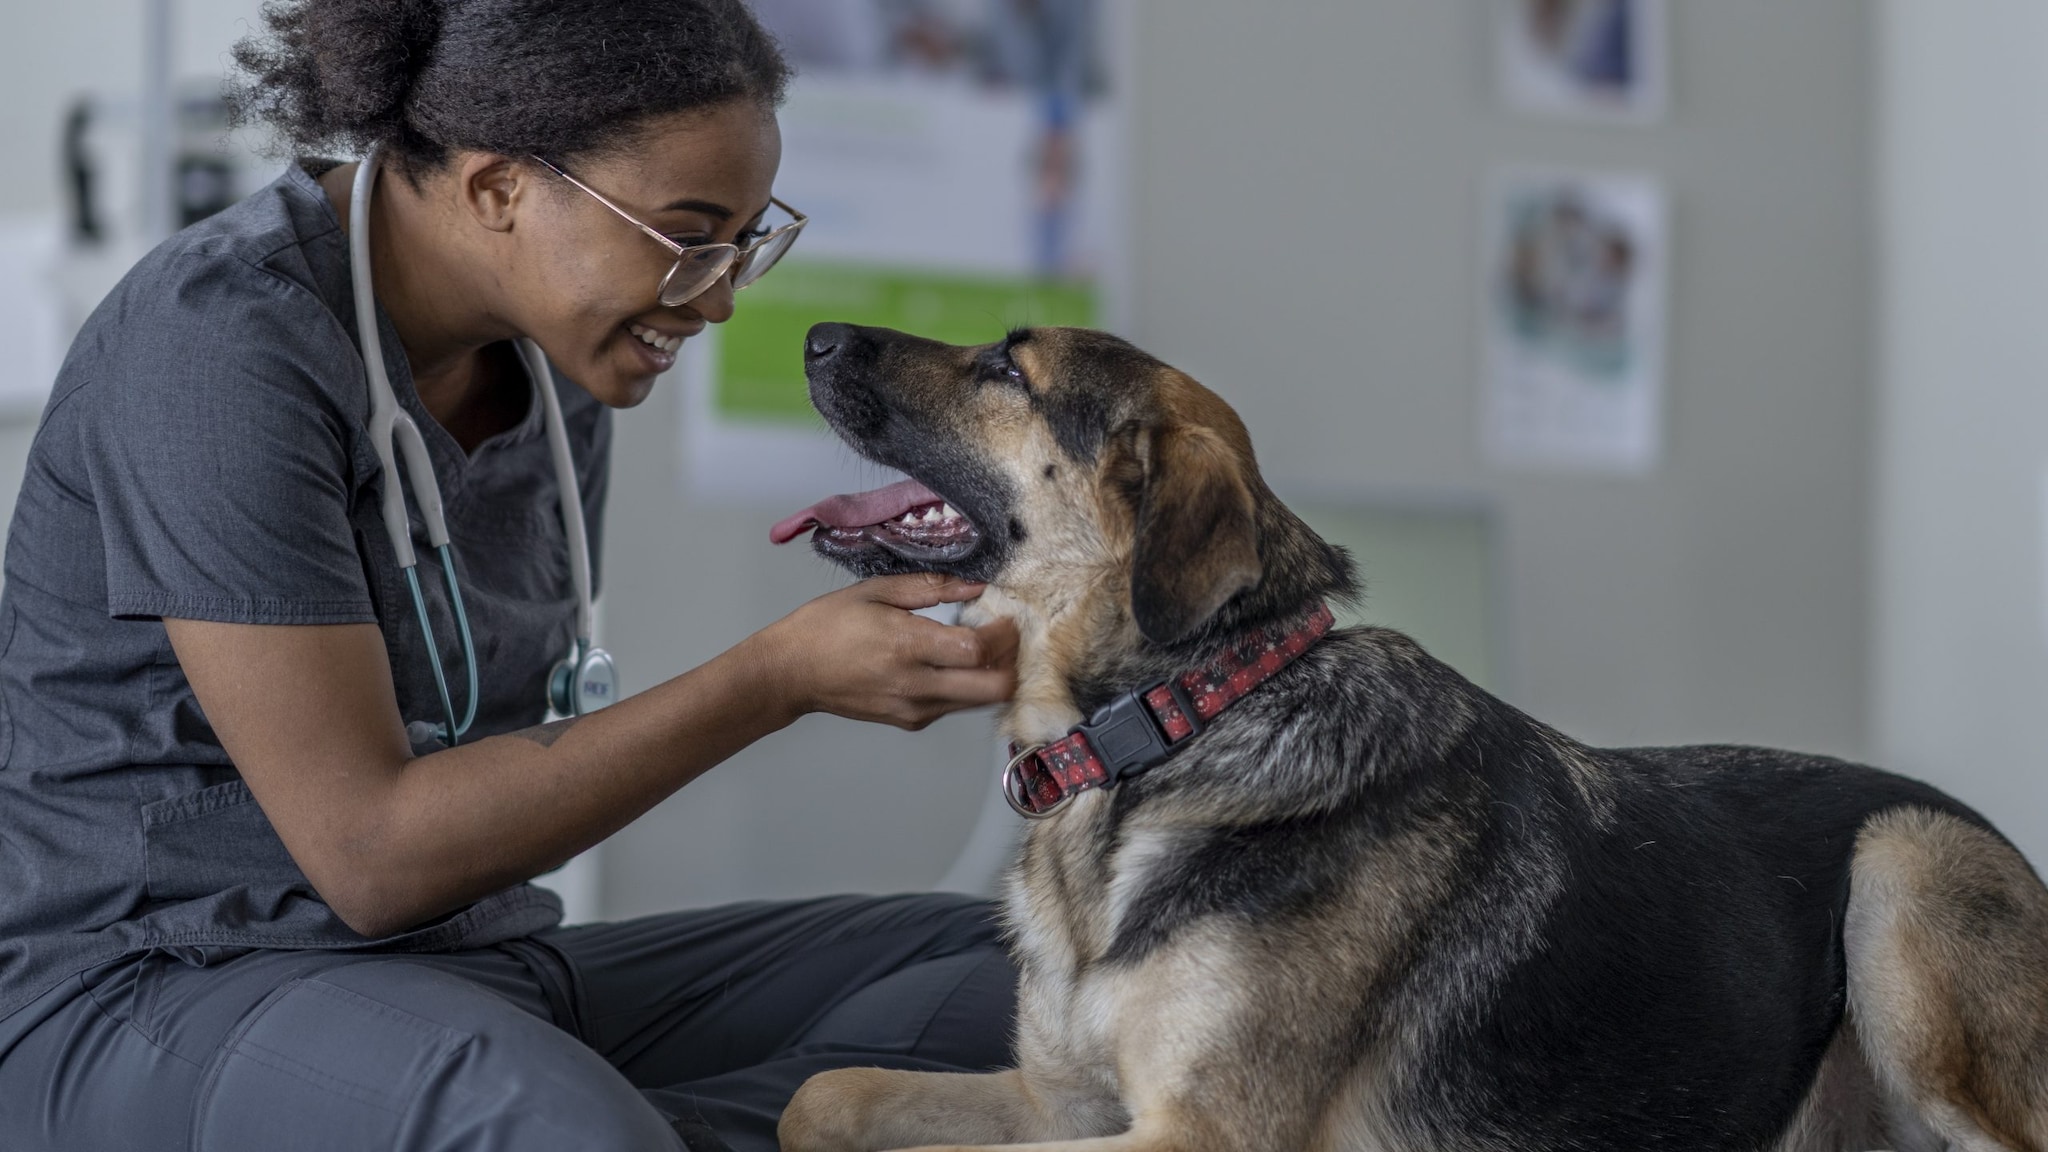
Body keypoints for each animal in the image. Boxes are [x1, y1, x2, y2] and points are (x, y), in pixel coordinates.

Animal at [770, 319, 2048, 1147]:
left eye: (1005, 367)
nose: (814, 333)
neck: (1174, 726)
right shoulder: (1061, 1100)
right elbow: (818, 1098)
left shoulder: (1197, 1131)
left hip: (1902, 863)